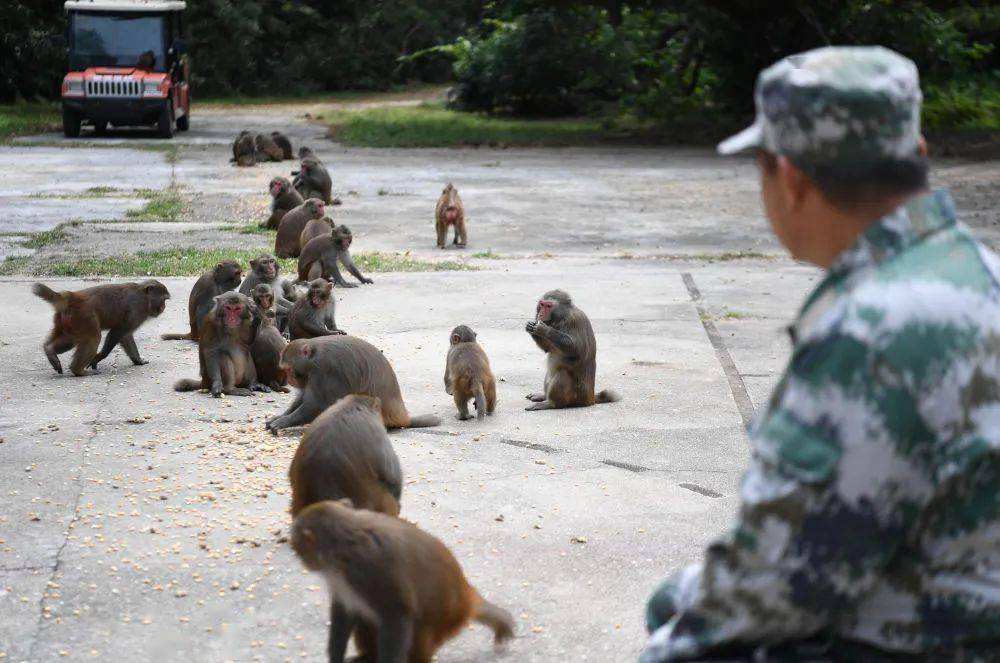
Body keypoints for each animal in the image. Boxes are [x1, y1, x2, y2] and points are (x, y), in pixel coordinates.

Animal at [32, 278, 170, 376]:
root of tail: (71, 297)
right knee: (94, 338)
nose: (164, 307)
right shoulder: (136, 310)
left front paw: (138, 360)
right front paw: (98, 357)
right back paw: (78, 370)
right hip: (84, 317)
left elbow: (126, 336)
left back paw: (50, 351)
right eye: (163, 299)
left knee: (69, 339)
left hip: (67, 320)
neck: (144, 297)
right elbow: (118, 332)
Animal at [266, 338, 442, 436]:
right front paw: (279, 417)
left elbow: (317, 404)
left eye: (289, 369)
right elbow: (304, 397)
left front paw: (283, 422)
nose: (289, 379)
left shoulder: (326, 370)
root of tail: (402, 417)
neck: (313, 358)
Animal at [288, 500, 508, 660]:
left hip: (445, 618)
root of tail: (465, 594)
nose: (303, 561)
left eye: (298, 548)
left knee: (417, 629)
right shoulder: (341, 578)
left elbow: (397, 614)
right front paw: (335, 655)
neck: (343, 547)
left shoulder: (368, 570)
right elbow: (346, 610)